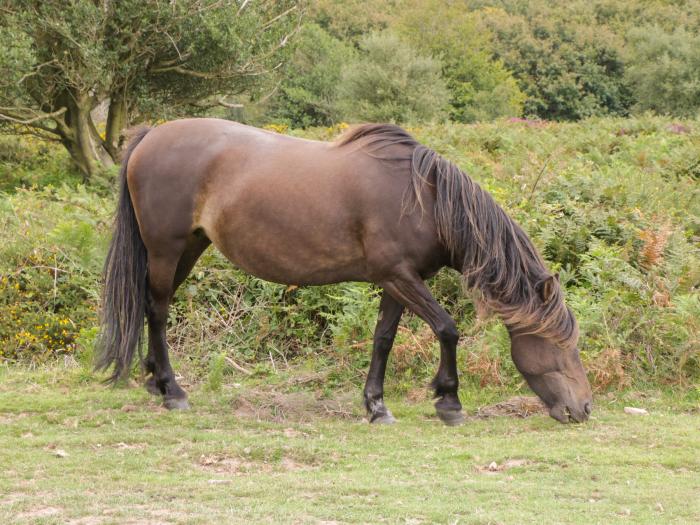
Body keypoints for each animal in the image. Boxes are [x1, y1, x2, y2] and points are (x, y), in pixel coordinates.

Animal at [97, 117, 592, 422]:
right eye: (562, 345)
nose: (584, 409)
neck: (425, 199)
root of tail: (150, 137)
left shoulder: (398, 281)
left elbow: (383, 340)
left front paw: (376, 405)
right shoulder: (401, 277)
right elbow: (448, 329)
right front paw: (449, 401)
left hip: (188, 249)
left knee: (152, 306)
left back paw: (155, 381)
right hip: (167, 250)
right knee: (159, 310)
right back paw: (173, 392)